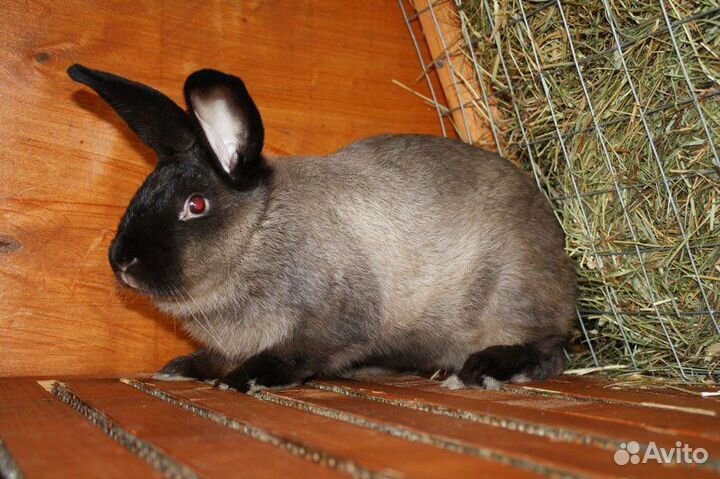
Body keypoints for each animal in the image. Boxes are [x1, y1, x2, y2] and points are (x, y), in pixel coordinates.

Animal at [67, 64, 576, 392]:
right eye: (145, 187)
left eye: (196, 205)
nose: (122, 261)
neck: (256, 234)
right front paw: (180, 368)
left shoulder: (331, 322)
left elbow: (296, 354)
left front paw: (246, 378)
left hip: (511, 297)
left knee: (548, 351)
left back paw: (481, 371)